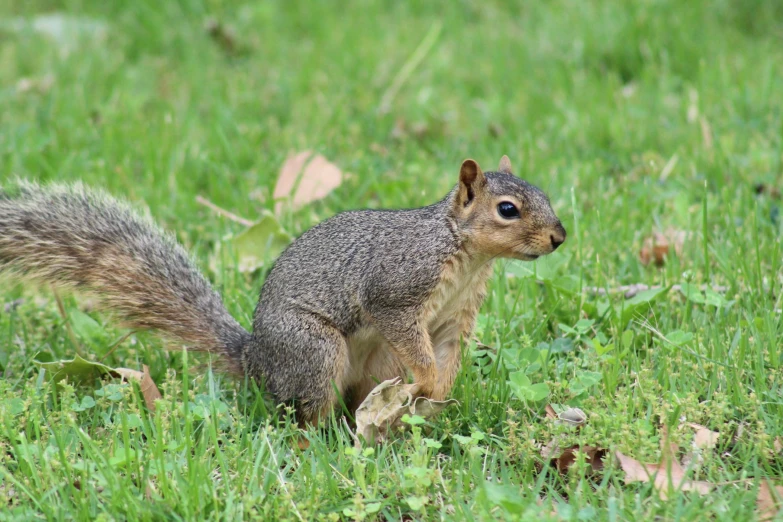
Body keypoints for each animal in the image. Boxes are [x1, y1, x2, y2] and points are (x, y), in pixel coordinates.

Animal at [0, 154, 568, 422]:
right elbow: (407, 330)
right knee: (305, 414)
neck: (466, 254)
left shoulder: (456, 315)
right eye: (508, 209)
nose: (559, 237)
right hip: (314, 350)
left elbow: (449, 353)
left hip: (375, 362)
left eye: (543, 194)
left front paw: (438, 392)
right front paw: (427, 381)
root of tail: (257, 359)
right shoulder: (397, 290)